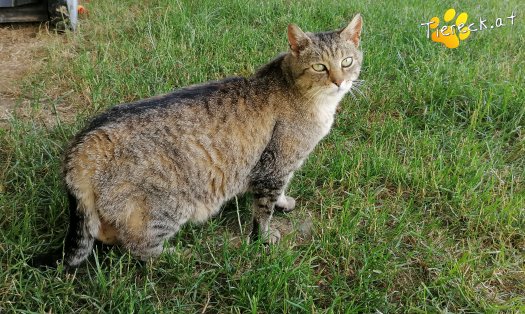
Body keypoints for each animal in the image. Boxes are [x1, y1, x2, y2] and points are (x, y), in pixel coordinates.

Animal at [35, 14, 360, 268]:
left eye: (347, 62)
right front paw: (265, 237)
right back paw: (181, 256)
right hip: (166, 207)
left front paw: (283, 203)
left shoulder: (279, 169)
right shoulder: (275, 166)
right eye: (319, 67)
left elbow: (279, 193)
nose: (339, 81)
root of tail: (83, 142)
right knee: (138, 248)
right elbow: (263, 211)